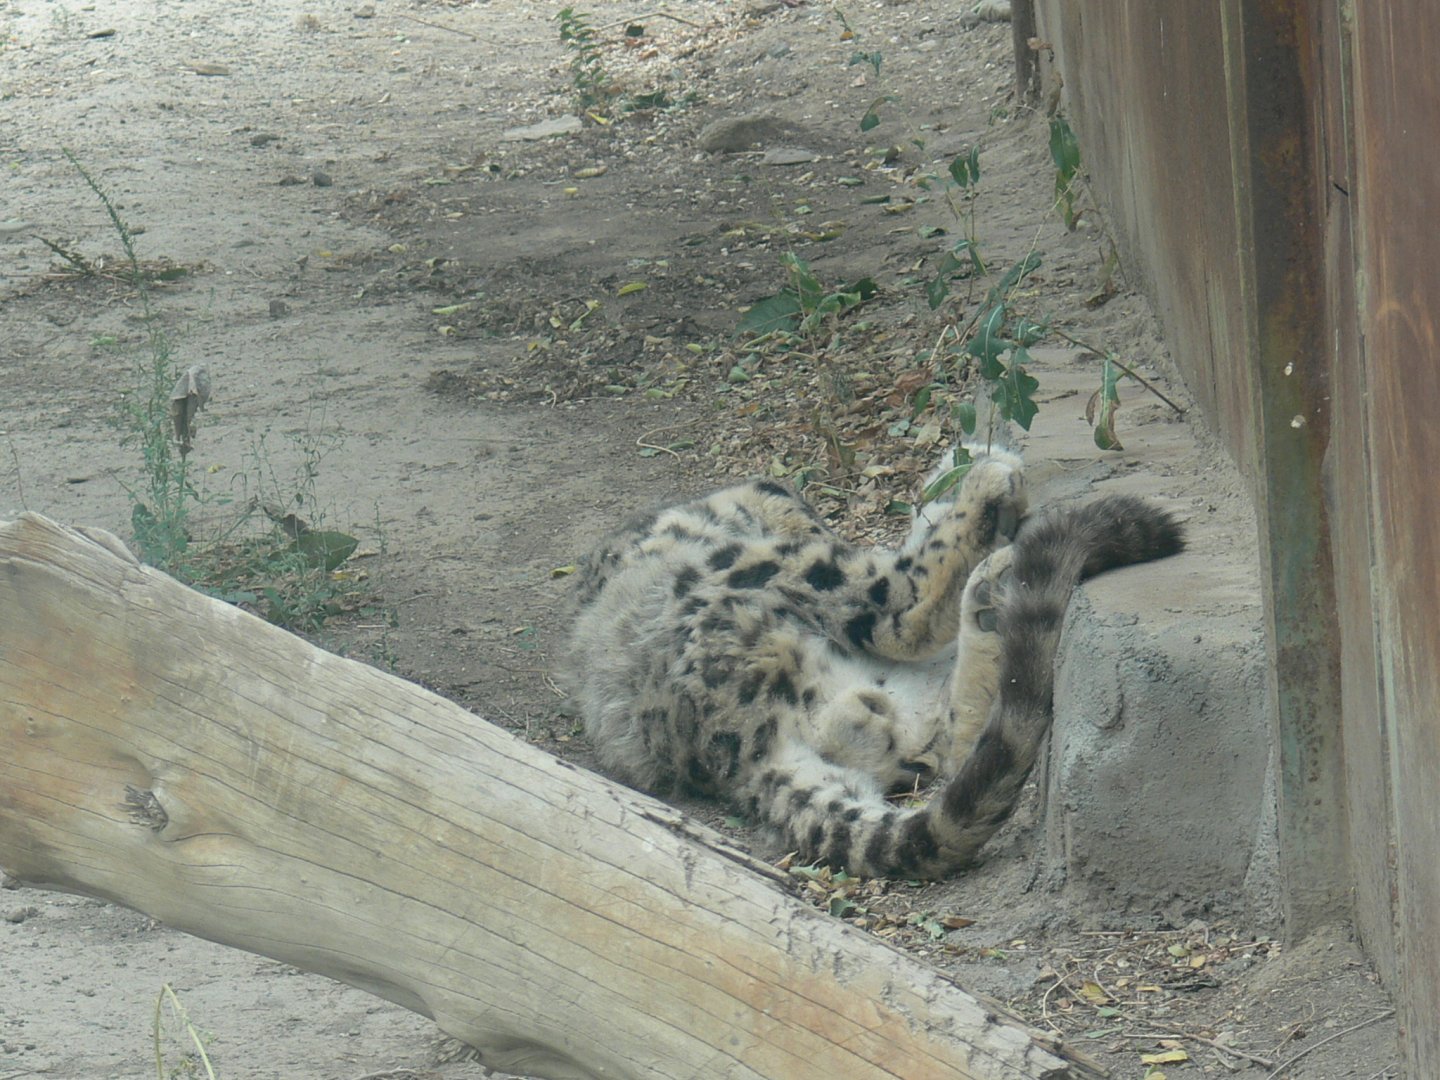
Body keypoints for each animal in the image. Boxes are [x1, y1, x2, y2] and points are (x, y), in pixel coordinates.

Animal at [563, 447, 1184, 880]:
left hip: (897, 699)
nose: (815, 520)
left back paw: (988, 601)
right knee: (900, 606)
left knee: (951, 738)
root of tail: (735, 751)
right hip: (765, 573)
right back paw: (989, 496)